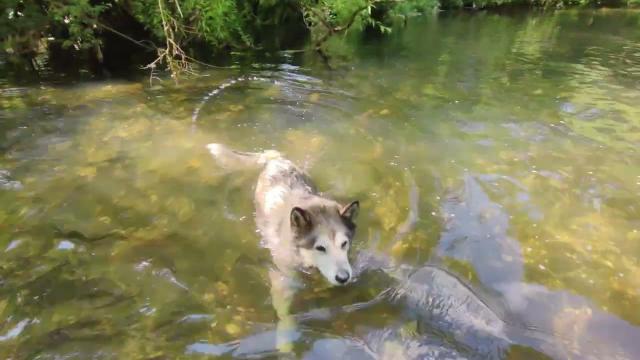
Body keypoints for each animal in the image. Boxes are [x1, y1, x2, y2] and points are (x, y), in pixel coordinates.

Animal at [206, 143, 360, 352]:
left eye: (344, 244)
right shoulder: (282, 277)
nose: (344, 278)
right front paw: (286, 343)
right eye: (320, 248)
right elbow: (285, 316)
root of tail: (276, 159)